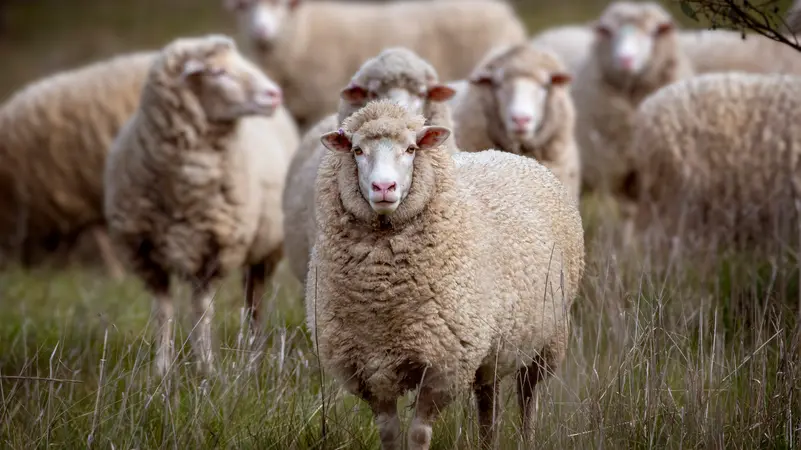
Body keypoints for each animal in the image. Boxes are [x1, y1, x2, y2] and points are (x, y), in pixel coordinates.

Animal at [104, 34, 300, 377]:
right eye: (218, 72)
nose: (274, 93)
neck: (184, 188)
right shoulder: (146, 255)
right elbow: (163, 311)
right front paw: (161, 369)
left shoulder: (213, 251)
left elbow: (201, 311)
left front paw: (206, 368)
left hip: (266, 249)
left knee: (256, 301)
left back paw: (254, 352)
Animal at [306, 100, 585, 450]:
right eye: (357, 150)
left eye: (411, 149)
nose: (383, 187)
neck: (384, 296)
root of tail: (510, 155)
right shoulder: (370, 368)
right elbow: (389, 433)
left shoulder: (444, 365)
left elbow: (419, 433)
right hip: (490, 346)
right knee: (488, 400)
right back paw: (487, 442)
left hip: (547, 338)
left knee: (528, 396)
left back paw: (527, 439)